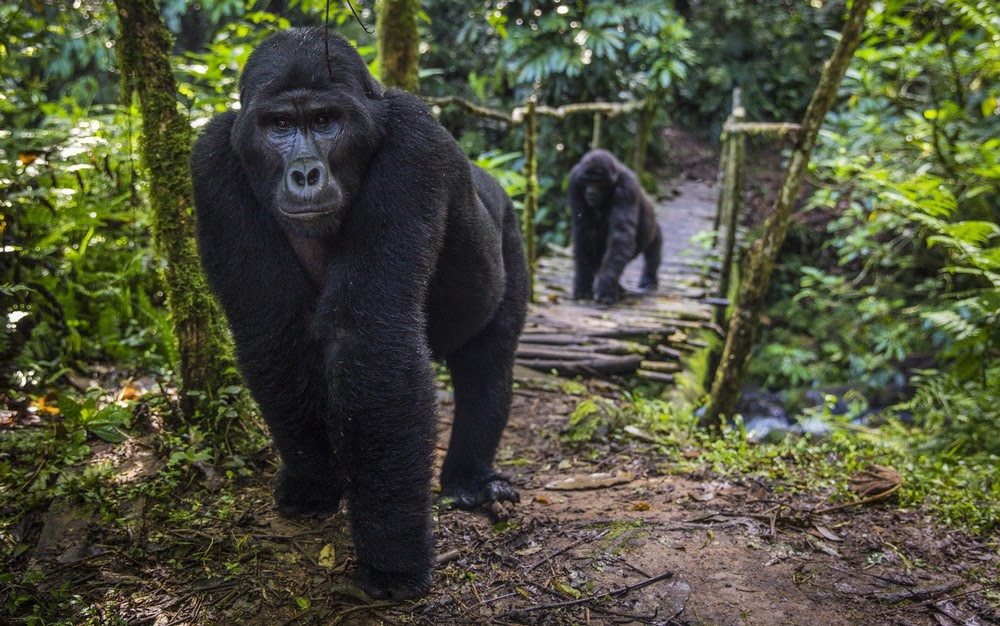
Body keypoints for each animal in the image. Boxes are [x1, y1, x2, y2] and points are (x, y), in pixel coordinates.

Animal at [190, 29, 528, 600]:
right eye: (279, 126)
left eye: (326, 120)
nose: (305, 173)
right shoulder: (211, 159)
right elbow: (275, 332)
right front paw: (313, 483)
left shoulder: (415, 145)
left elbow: (370, 337)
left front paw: (391, 559)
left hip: (511, 227)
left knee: (490, 363)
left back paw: (468, 480)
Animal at [568, 147, 660, 302]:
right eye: (587, 180)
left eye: (597, 181)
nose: (590, 192)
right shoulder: (574, 182)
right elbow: (584, 232)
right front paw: (583, 284)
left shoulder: (626, 187)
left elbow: (620, 234)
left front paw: (605, 285)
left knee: (653, 243)